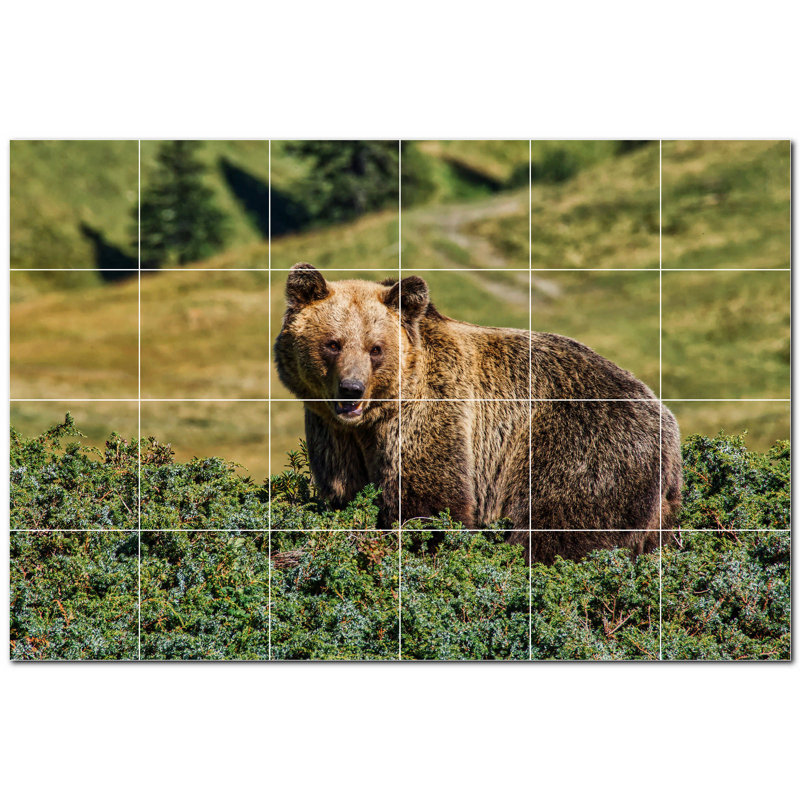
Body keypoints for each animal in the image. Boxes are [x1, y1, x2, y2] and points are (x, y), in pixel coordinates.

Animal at [274, 262, 682, 564]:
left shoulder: (431, 414)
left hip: (580, 447)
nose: (351, 388)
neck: (374, 419)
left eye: (376, 348)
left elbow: (430, 501)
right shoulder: (333, 433)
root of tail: (668, 424)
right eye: (333, 344)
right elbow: (343, 490)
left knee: (558, 530)